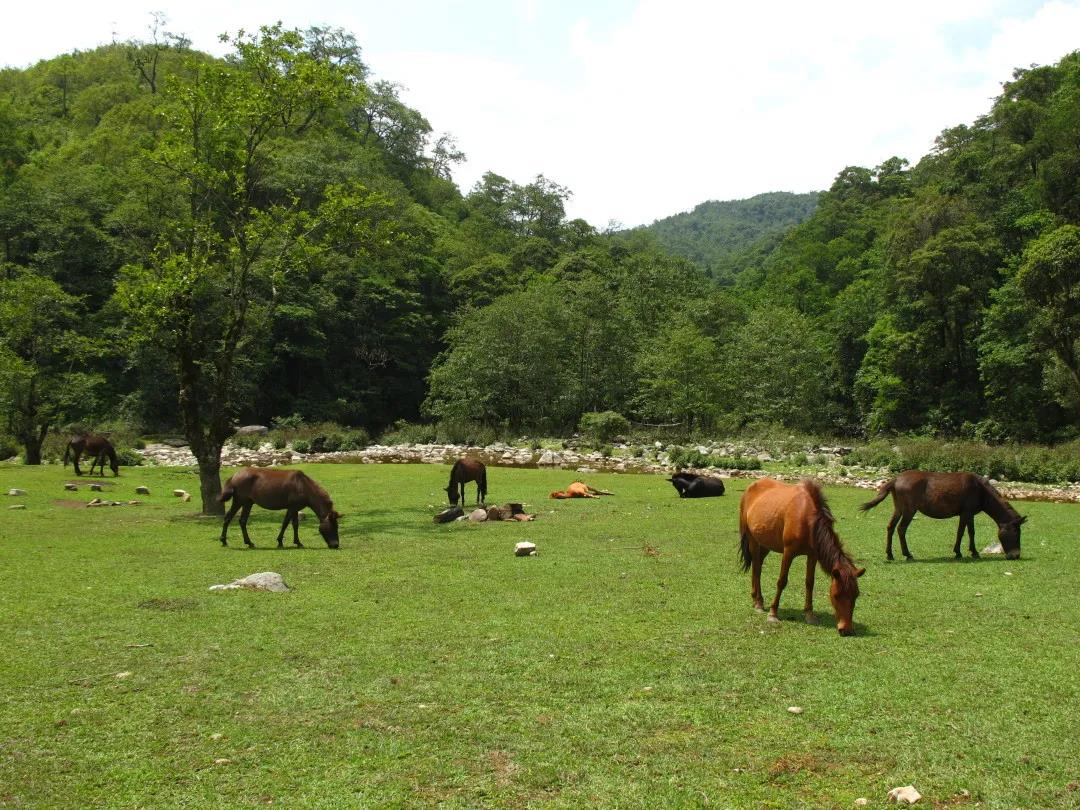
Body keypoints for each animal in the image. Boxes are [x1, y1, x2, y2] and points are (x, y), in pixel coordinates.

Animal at [738, 479, 864, 639]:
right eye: (836, 596)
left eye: (856, 595)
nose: (846, 629)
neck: (806, 517)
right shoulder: (788, 552)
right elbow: (782, 581)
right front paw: (773, 613)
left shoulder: (812, 555)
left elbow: (810, 583)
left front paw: (809, 614)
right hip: (753, 541)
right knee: (756, 569)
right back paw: (758, 603)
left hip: (765, 543)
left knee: (758, 565)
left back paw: (757, 599)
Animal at [855, 473, 1023, 561]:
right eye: (1016, 533)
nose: (1016, 555)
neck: (980, 490)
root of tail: (896, 479)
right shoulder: (967, 513)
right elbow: (966, 532)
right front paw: (965, 552)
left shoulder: (967, 514)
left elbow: (966, 532)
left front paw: (965, 552)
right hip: (909, 510)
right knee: (901, 529)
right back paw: (907, 554)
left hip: (899, 509)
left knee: (890, 527)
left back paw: (890, 555)